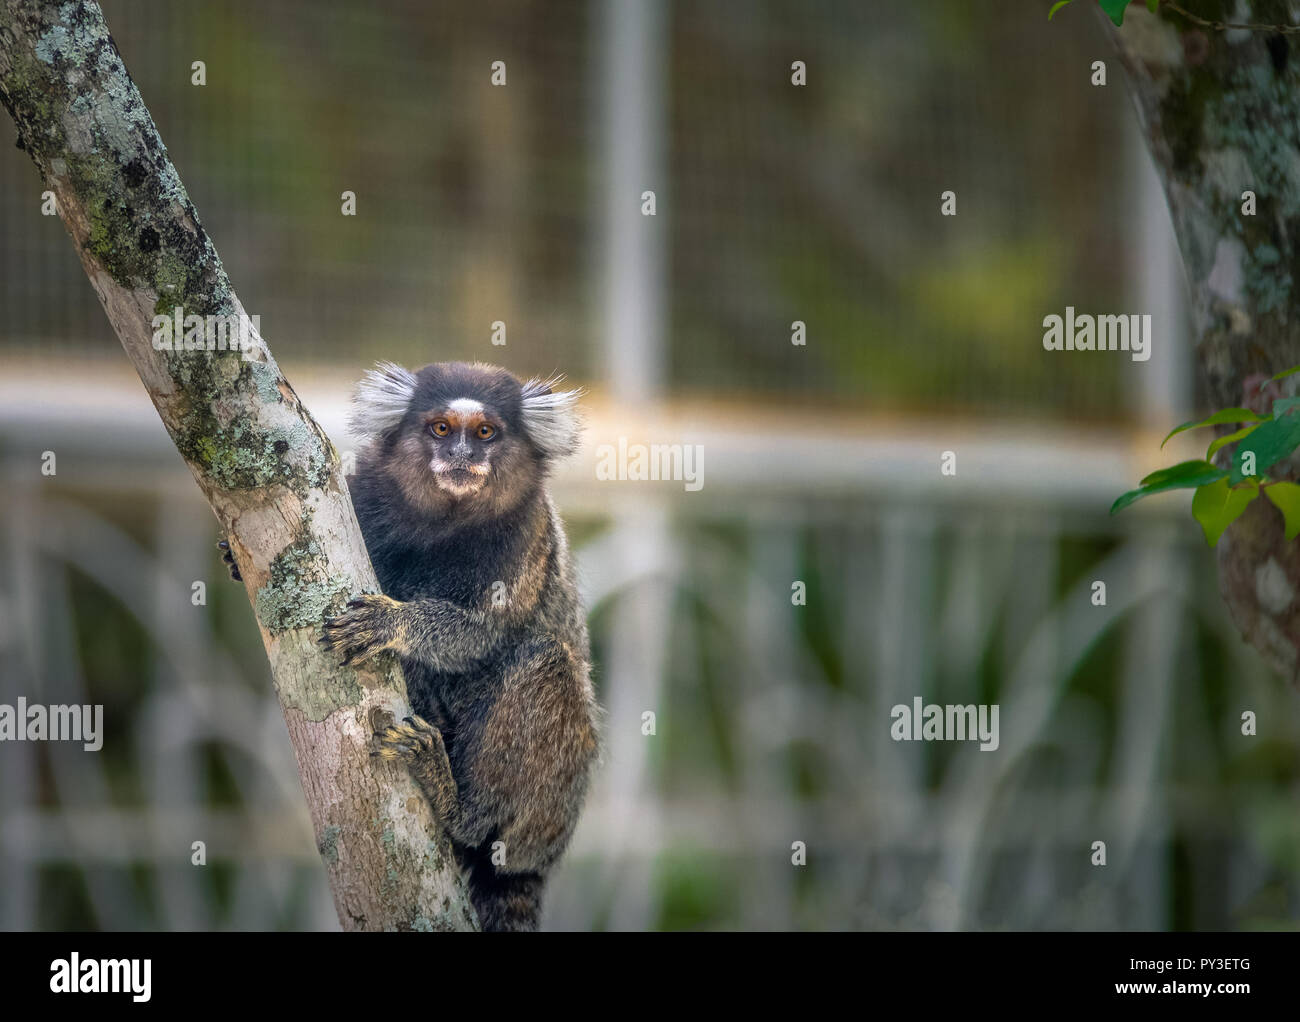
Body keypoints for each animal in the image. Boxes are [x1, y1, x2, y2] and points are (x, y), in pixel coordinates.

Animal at [224, 361, 598, 925]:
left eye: (484, 433)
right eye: (441, 429)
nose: (462, 456)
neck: (444, 525)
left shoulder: (524, 536)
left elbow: (480, 633)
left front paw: (392, 623)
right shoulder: (361, 496)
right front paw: (230, 557)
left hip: (547, 811)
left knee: (546, 661)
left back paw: (459, 808)